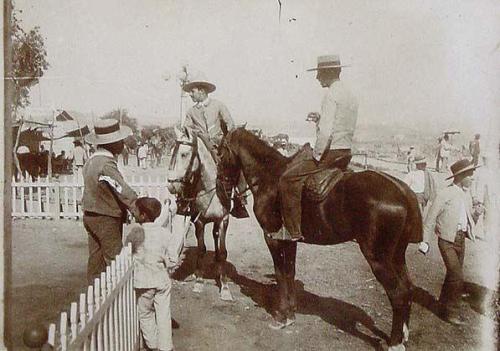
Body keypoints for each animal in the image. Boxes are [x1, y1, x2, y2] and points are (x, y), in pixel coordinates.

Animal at [166, 128, 232, 302]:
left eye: (184, 154)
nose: (171, 186)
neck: (210, 189)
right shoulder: (199, 221)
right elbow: (201, 249)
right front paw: (199, 281)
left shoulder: (223, 220)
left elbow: (223, 251)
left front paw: (225, 287)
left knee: (216, 237)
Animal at [218, 129, 422, 351]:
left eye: (220, 152)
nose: (221, 185)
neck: (270, 178)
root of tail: (402, 190)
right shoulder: (290, 241)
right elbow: (289, 273)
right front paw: (291, 312)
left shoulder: (272, 238)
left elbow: (280, 274)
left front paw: (283, 316)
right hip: (397, 255)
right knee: (408, 288)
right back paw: (404, 335)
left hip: (378, 258)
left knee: (398, 293)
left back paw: (395, 343)